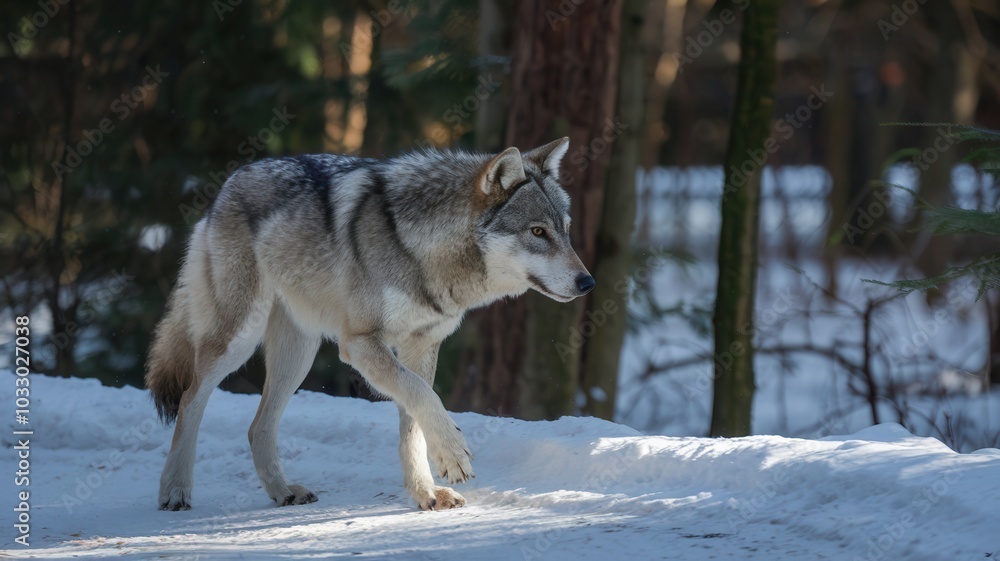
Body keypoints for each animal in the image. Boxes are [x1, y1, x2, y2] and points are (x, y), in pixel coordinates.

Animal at [145, 137, 595, 512]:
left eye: (566, 231)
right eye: (537, 232)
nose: (588, 283)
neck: (423, 253)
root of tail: (227, 184)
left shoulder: (421, 346)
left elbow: (414, 422)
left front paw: (426, 492)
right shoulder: (361, 343)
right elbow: (424, 398)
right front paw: (452, 454)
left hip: (298, 357)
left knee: (258, 427)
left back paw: (283, 491)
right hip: (237, 340)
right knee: (189, 400)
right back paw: (175, 491)